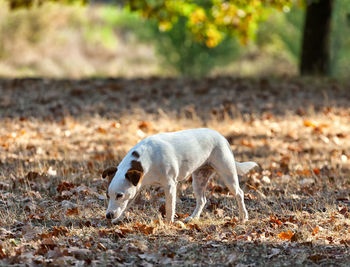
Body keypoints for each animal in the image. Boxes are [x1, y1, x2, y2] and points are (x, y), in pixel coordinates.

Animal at [103, 129, 258, 225]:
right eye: (107, 195)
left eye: (119, 195)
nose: (108, 215)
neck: (146, 160)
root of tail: (222, 137)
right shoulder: (136, 189)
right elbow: (125, 206)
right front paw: (117, 220)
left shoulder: (170, 185)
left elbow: (170, 207)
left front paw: (168, 223)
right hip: (199, 179)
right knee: (202, 200)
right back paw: (193, 218)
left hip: (227, 174)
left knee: (239, 193)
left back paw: (243, 217)